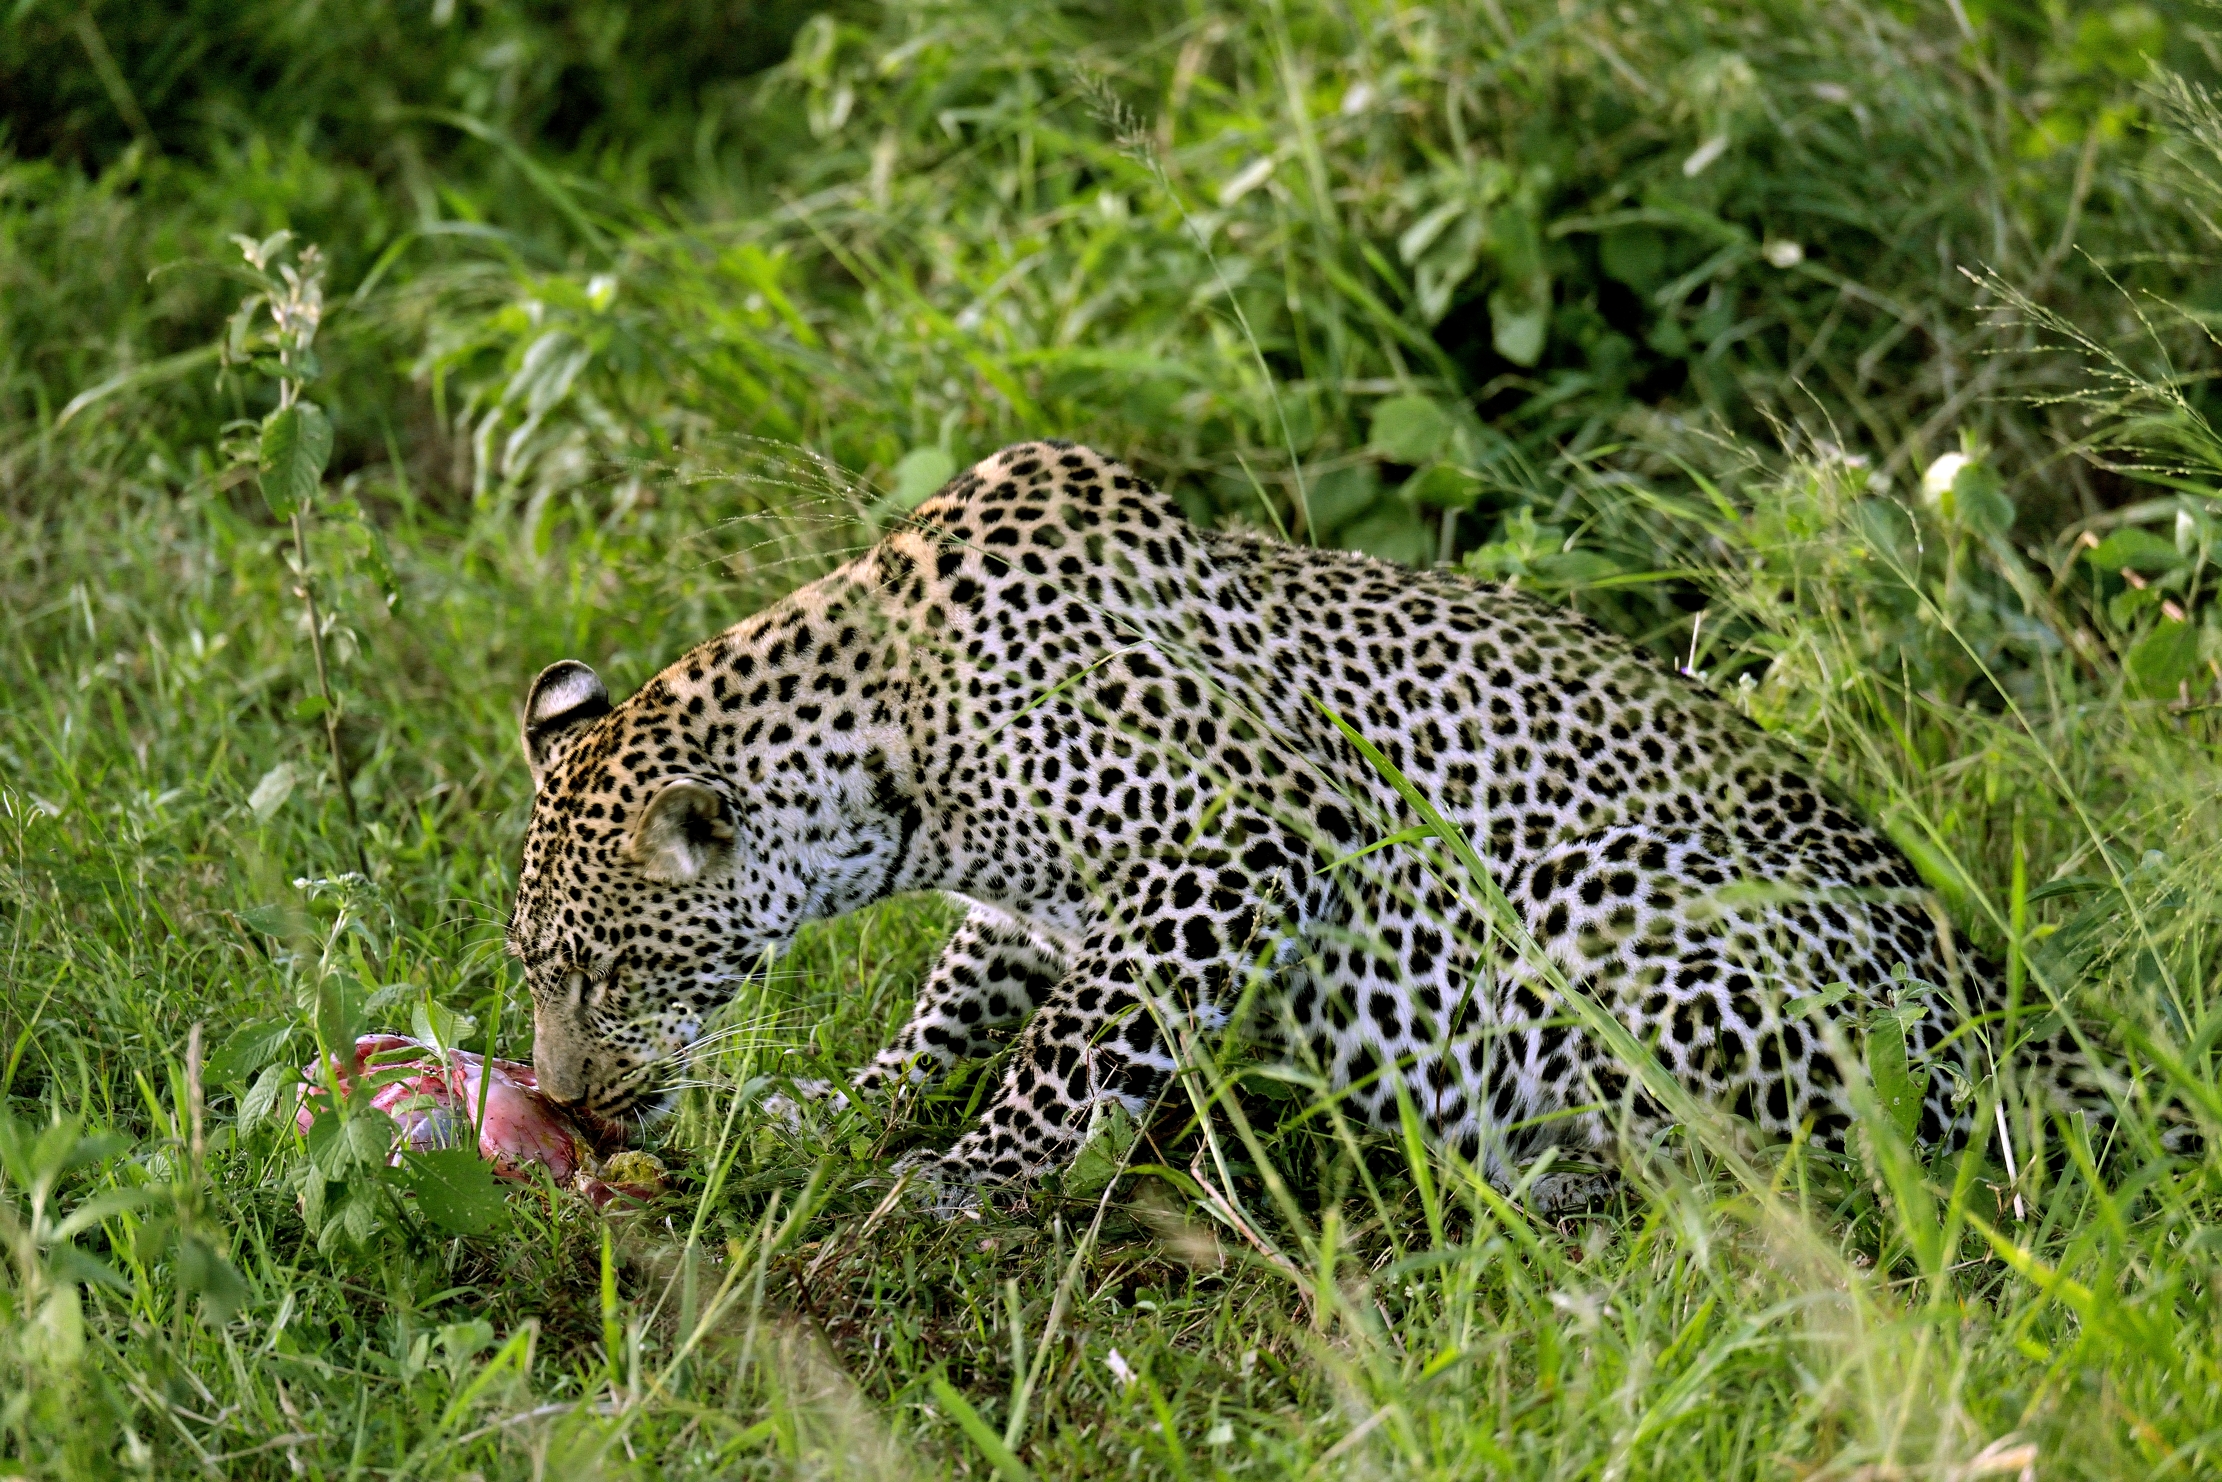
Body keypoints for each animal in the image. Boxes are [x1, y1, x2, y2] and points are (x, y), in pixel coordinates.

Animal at [505, 439, 2110, 1212]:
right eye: (534, 974)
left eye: (603, 971)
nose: (571, 1105)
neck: (888, 759)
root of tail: (2034, 1034)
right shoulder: (1032, 908)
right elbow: (959, 1012)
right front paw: (856, 1107)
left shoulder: (1231, 837)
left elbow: (1069, 1047)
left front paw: (970, 1179)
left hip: (1622, 907)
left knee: (1825, 1168)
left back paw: (1556, 1174)